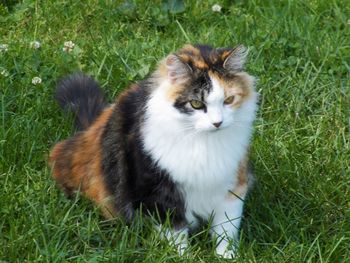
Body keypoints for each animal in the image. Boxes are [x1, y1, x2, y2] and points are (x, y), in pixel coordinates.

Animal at [50, 43, 258, 260]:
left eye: (229, 100)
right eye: (196, 104)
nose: (218, 123)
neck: (204, 143)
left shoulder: (233, 185)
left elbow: (226, 229)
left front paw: (226, 256)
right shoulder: (158, 192)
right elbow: (176, 233)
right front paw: (182, 257)